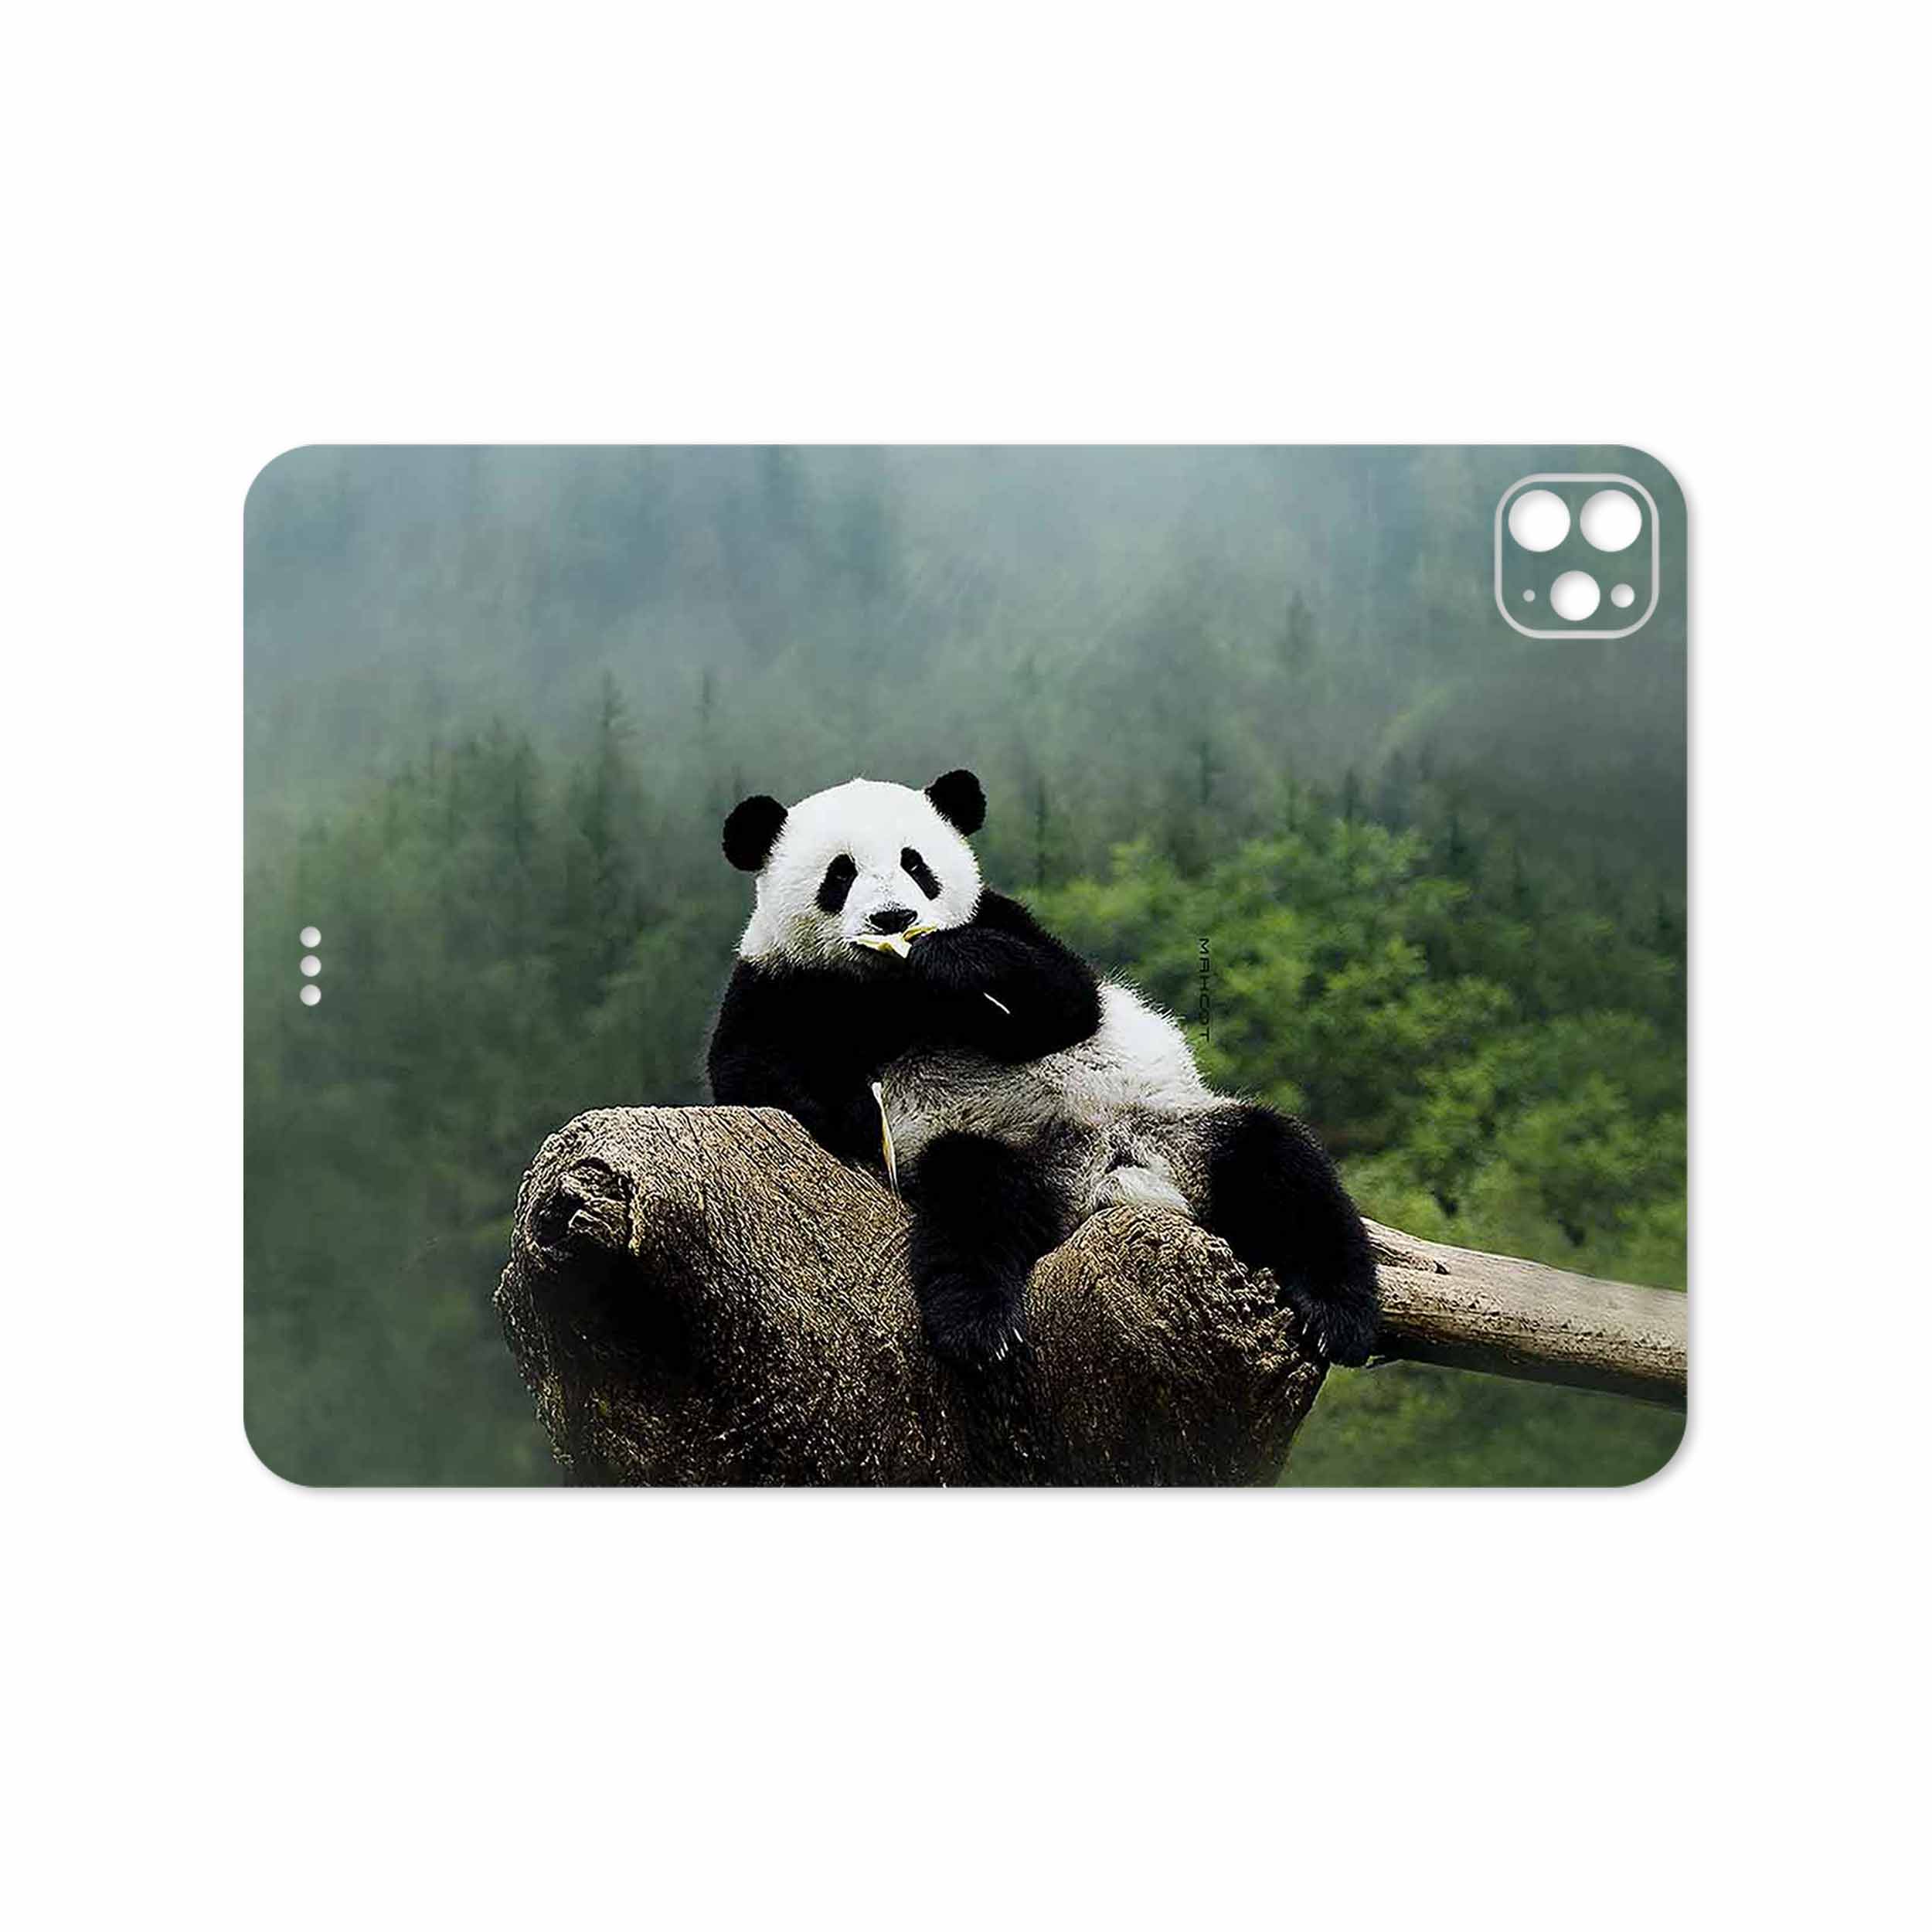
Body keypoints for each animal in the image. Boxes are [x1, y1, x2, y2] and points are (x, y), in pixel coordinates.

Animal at [707, 768, 1380, 1369]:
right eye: (840, 874)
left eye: (916, 865)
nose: (894, 919)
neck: (890, 989)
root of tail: (1106, 1178)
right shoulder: (778, 982)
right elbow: (749, 1072)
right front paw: (853, 1112)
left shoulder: (1002, 919)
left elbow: (1068, 1000)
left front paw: (952, 961)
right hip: (999, 1149)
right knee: (973, 1203)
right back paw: (979, 1328)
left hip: (1178, 1127)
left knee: (1282, 1166)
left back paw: (1338, 1316)